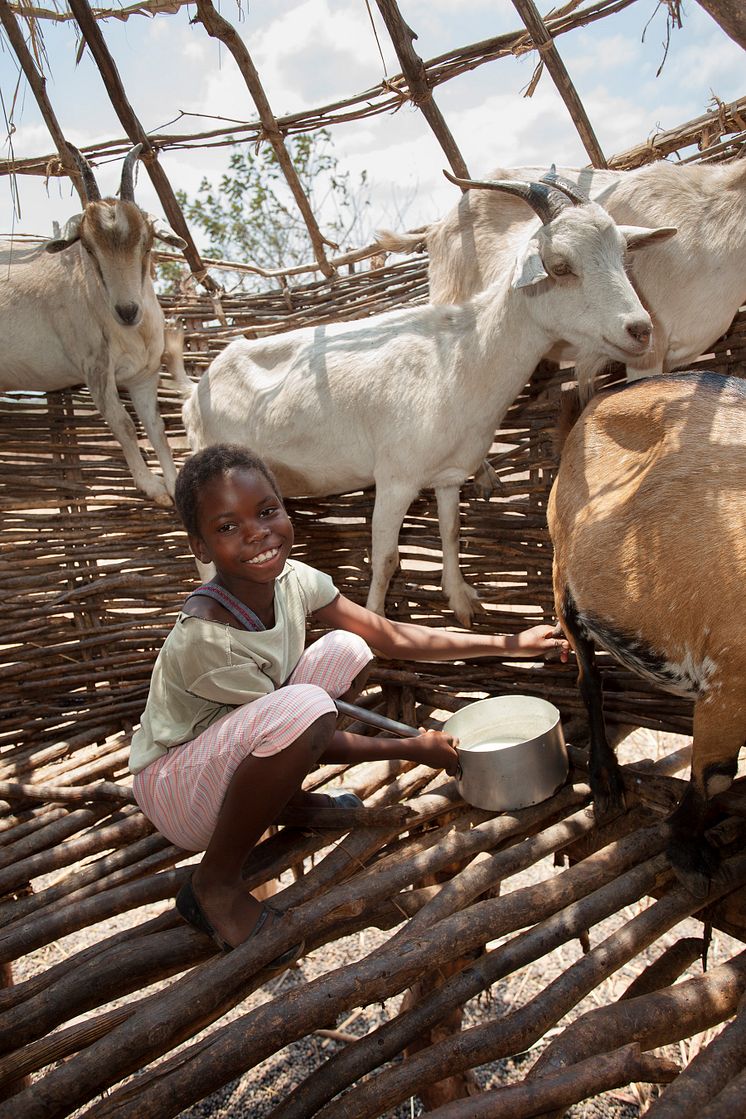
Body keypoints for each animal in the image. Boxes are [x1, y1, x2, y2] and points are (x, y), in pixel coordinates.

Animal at [0, 146, 185, 505]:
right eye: (87, 247)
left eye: (147, 242)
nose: (127, 311)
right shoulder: (95, 369)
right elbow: (124, 425)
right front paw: (152, 487)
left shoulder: (144, 375)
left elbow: (156, 426)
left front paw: (172, 483)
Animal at [176, 179, 675, 626]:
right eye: (559, 265)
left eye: (623, 255)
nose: (640, 329)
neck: (461, 357)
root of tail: (195, 390)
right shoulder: (396, 477)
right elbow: (387, 557)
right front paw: (378, 622)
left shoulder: (450, 475)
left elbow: (451, 533)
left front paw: (462, 601)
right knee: (204, 556)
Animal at [548, 371, 746, 895]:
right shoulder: (729, 680)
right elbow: (716, 775)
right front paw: (686, 851)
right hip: (562, 577)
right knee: (588, 681)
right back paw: (605, 780)